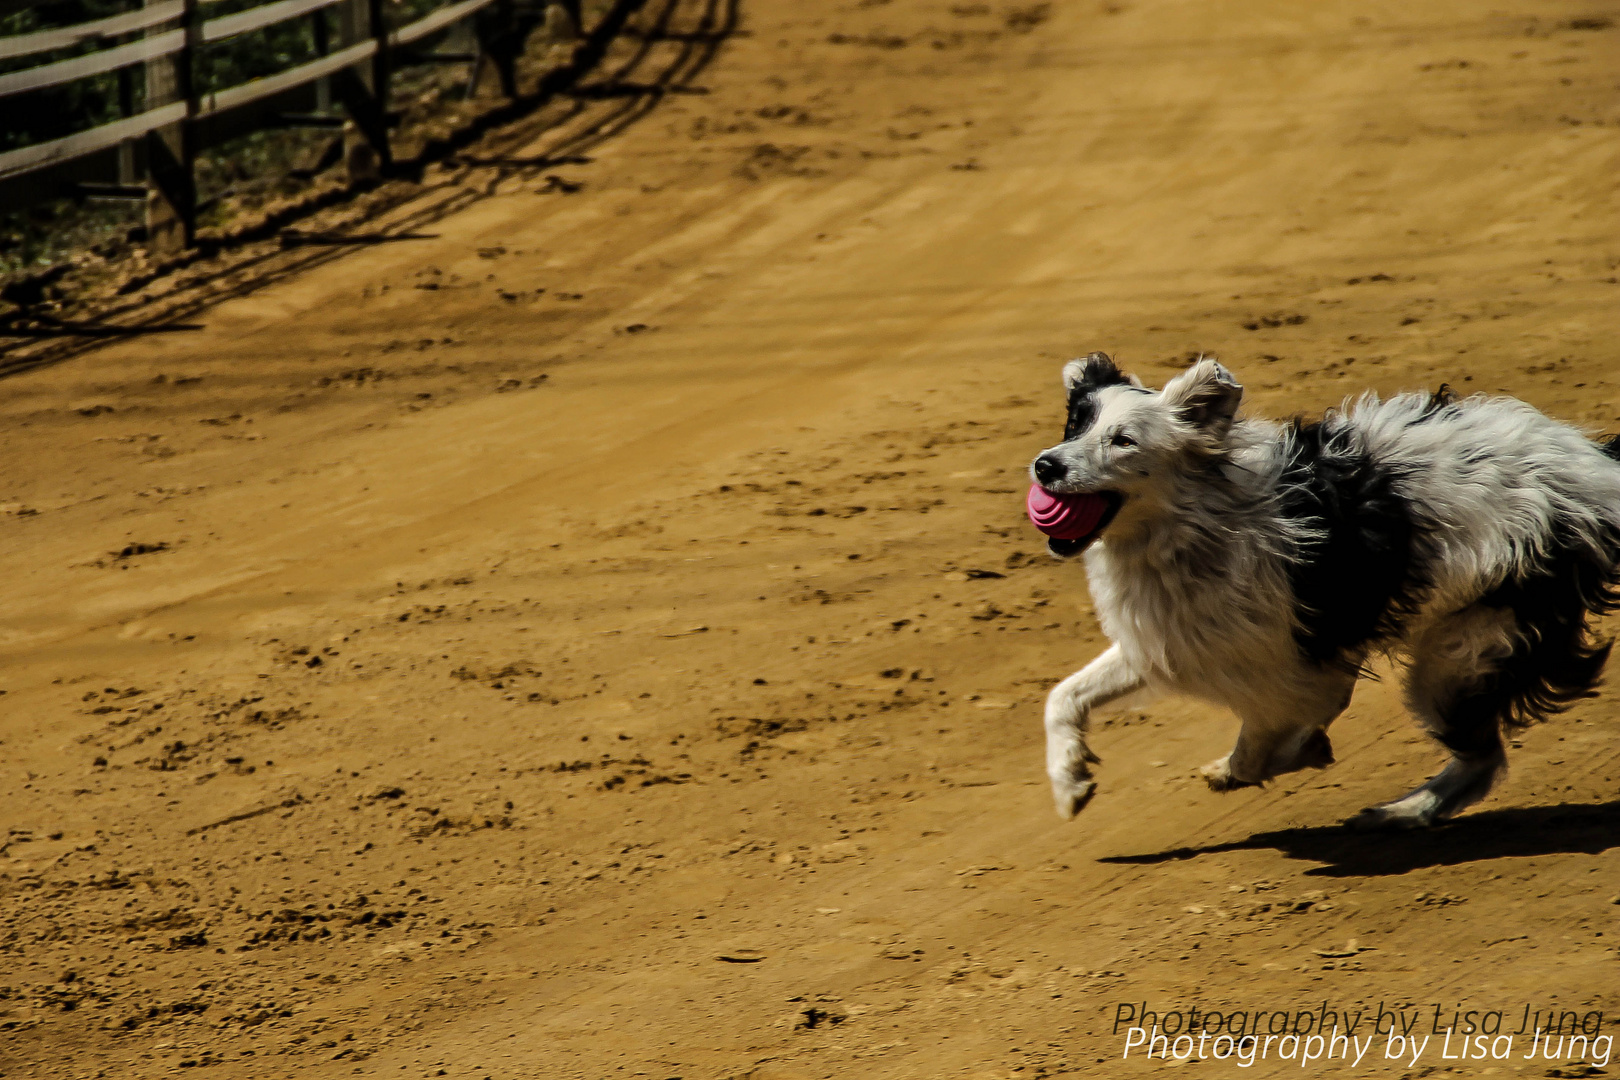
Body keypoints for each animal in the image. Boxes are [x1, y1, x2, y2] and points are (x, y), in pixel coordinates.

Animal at [1023, 354, 1620, 829]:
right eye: (1074, 424)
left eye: (1123, 441)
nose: (1045, 465)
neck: (1194, 529)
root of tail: (1591, 473)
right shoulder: (1172, 642)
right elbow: (1063, 697)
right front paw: (1069, 779)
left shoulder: (1301, 669)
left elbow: (1260, 744)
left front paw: (1277, 757)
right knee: (1483, 759)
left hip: (1455, 659)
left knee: (1482, 757)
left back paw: (1403, 812)